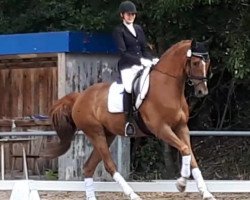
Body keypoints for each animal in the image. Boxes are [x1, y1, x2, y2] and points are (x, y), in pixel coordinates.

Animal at [42, 39, 215, 200]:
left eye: (208, 62)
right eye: (195, 62)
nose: (202, 92)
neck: (167, 88)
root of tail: (80, 96)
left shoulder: (181, 127)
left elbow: (191, 156)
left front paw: (205, 193)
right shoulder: (161, 129)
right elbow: (185, 150)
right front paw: (181, 183)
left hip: (107, 135)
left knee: (88, 167)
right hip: (95, 133)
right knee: (109, 165)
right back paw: (133, 195)